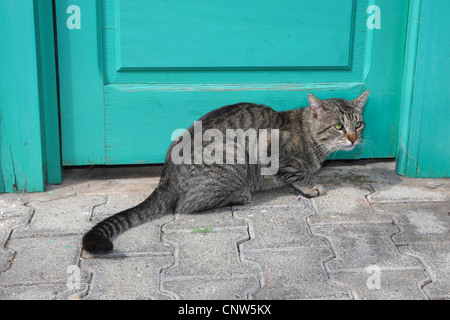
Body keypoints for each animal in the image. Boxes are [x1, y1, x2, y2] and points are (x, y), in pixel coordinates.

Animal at [83, 90, 370, 252]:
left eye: (358, 124)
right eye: (338, 127)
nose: (354, 139)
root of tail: (166, 176)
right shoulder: (274, 153)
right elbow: (297, 174)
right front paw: (311, 186)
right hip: (232, 153)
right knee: (185, 206)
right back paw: (238, 196)